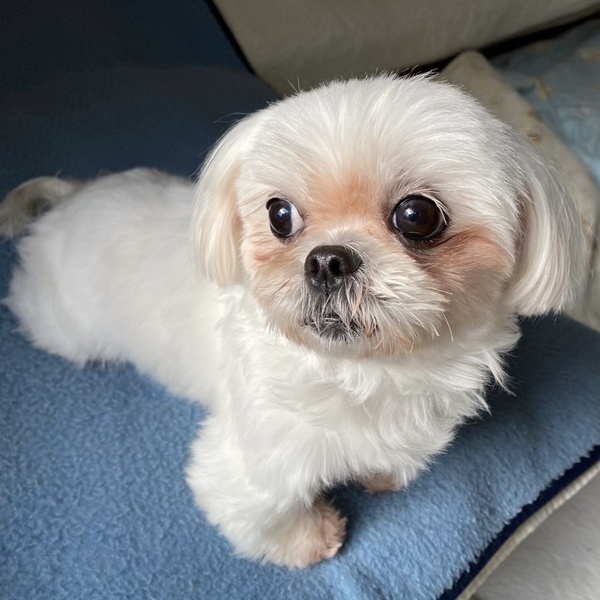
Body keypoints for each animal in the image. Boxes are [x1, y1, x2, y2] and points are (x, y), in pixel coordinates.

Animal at [0, 74, 584, 568]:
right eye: (279, 214)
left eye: (417, 215)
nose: (327, 259)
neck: (376, 372)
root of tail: (69, 202)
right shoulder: (252, 461)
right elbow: (262, 510)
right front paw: (309, 539)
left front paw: (380, 474)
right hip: (65, 328)